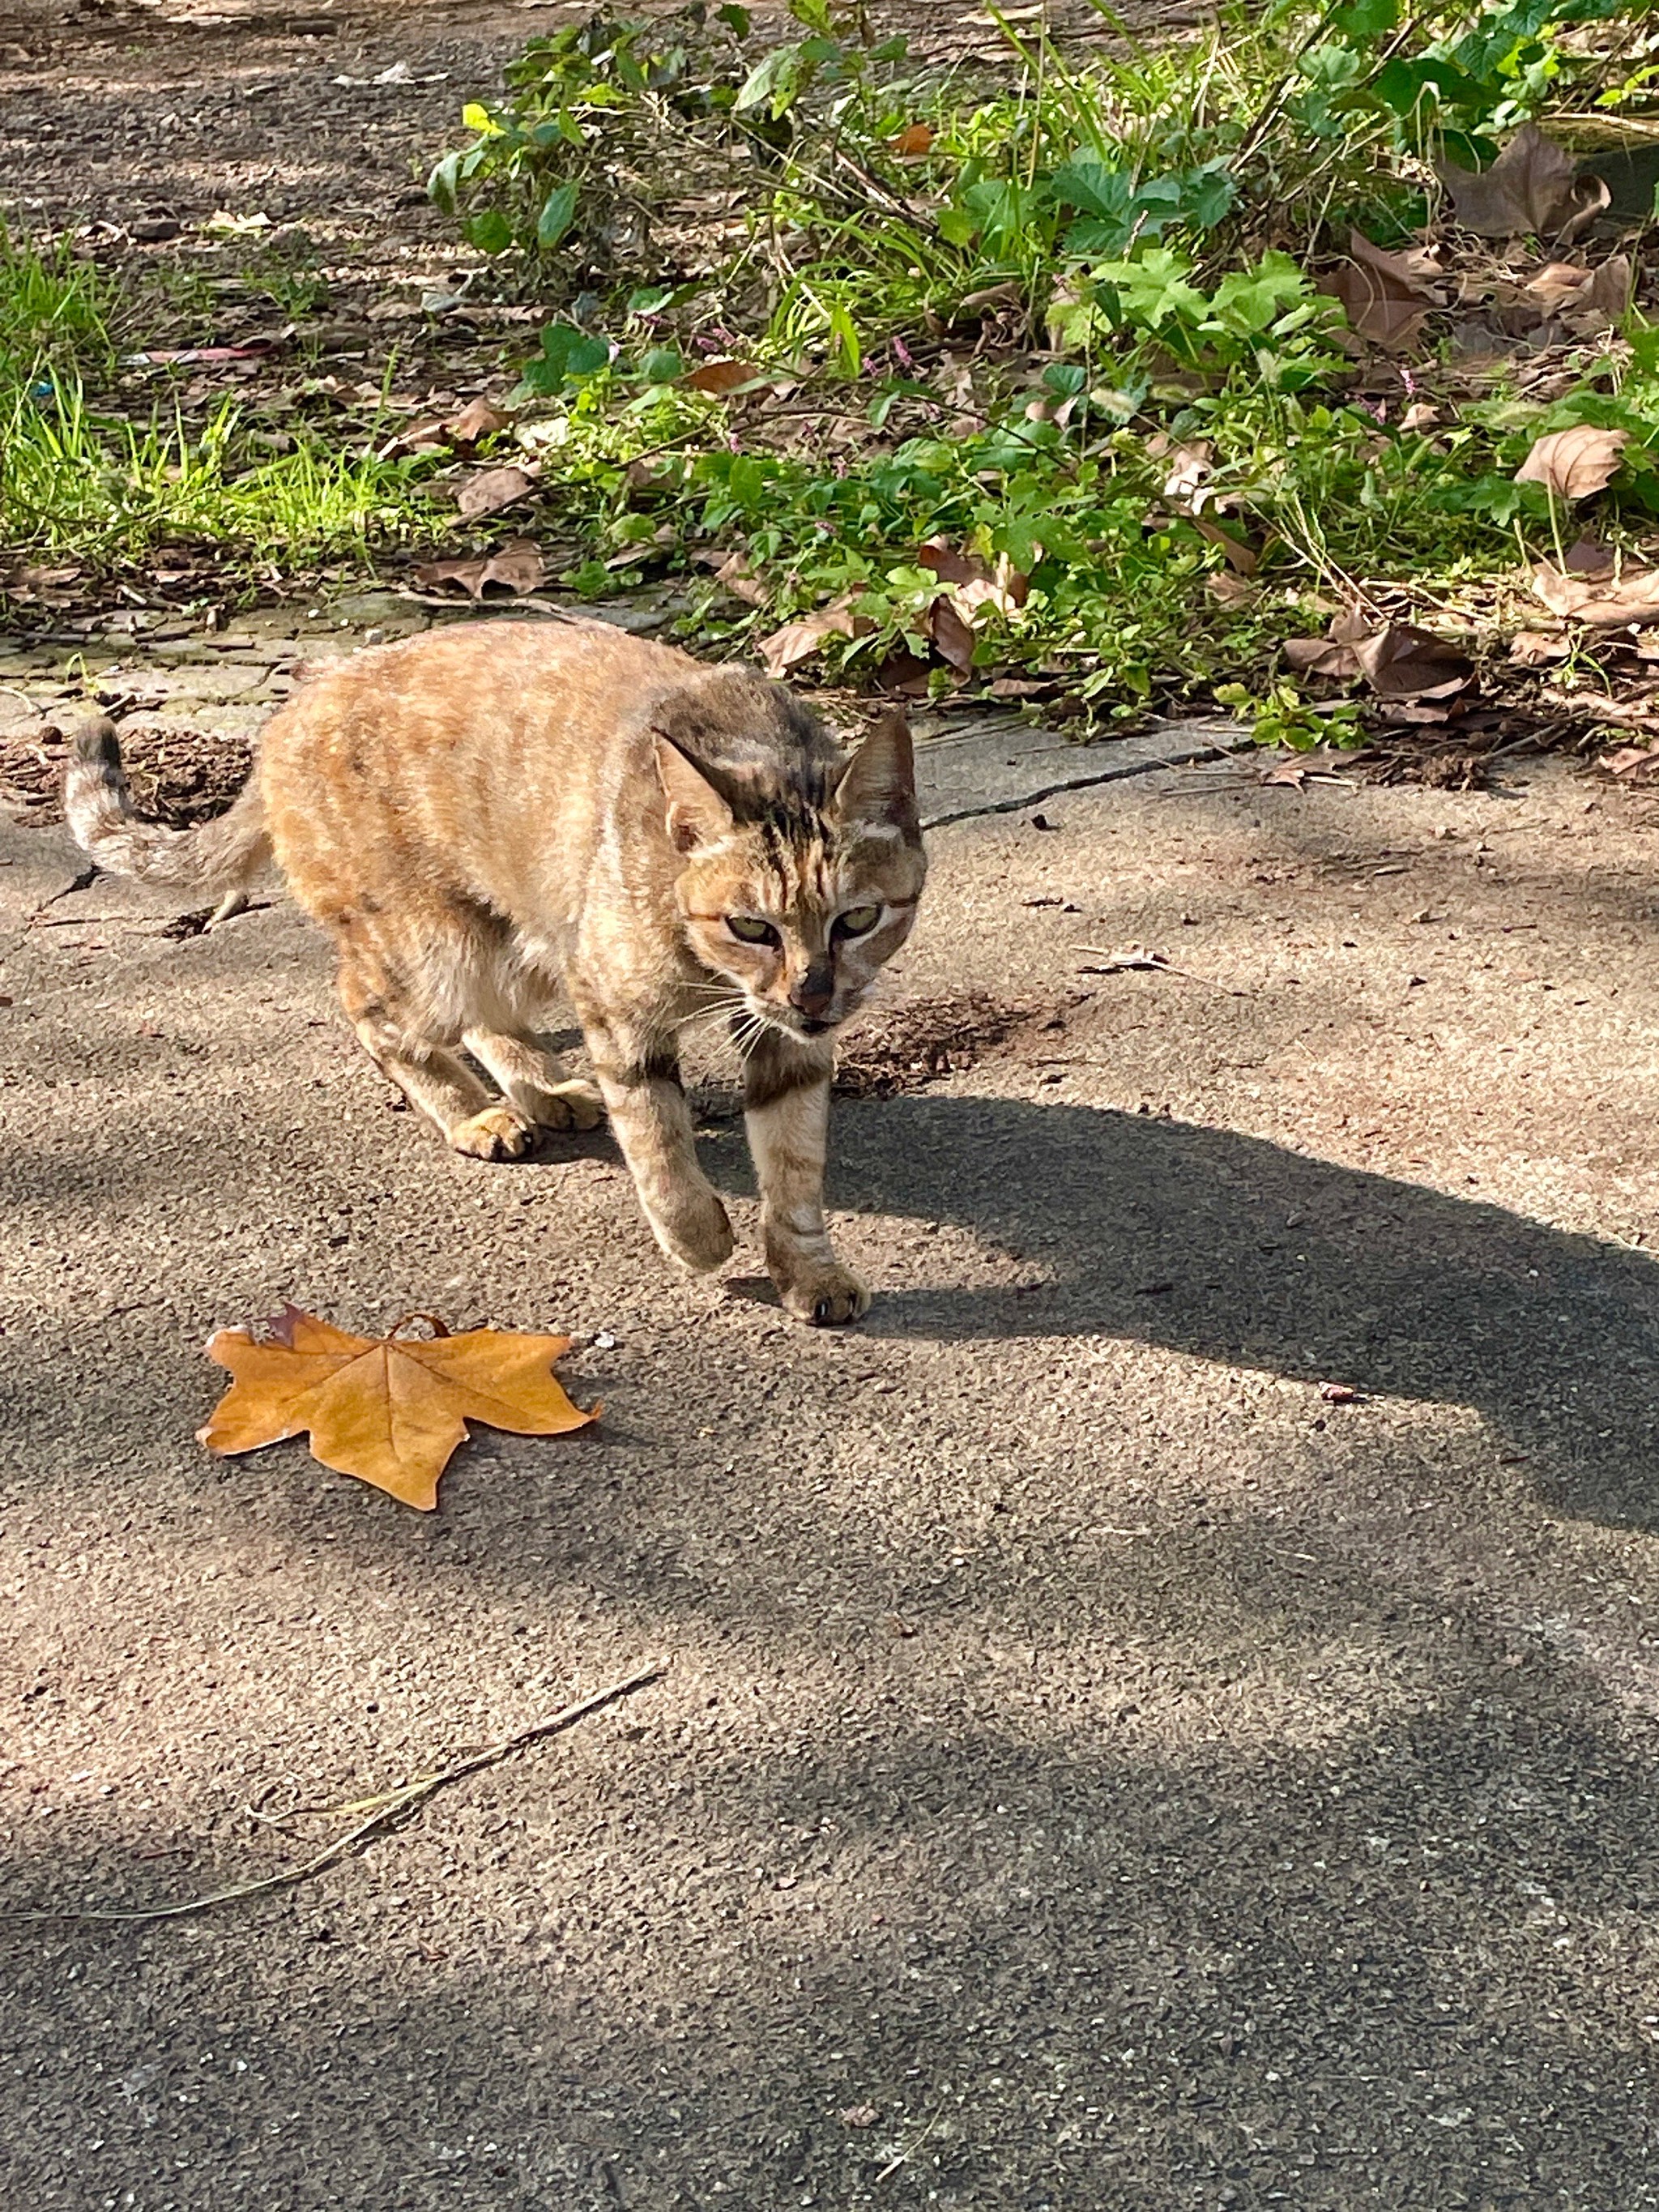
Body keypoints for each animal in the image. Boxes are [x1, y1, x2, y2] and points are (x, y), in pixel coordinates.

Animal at [68, 614, 924, 1318]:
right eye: (752, 926)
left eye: (857, 920)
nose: (812, 993)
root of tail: (287, 713)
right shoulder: (617, 1008)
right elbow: (659, 1146)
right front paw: (698, 1236)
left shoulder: (791, 1043)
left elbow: (793, 1164)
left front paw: (807, 1270)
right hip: (435, 948)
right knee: (368, 1007)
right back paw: (472, 1113)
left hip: (519, 933)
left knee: (485, 1016)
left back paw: (541, 1087)